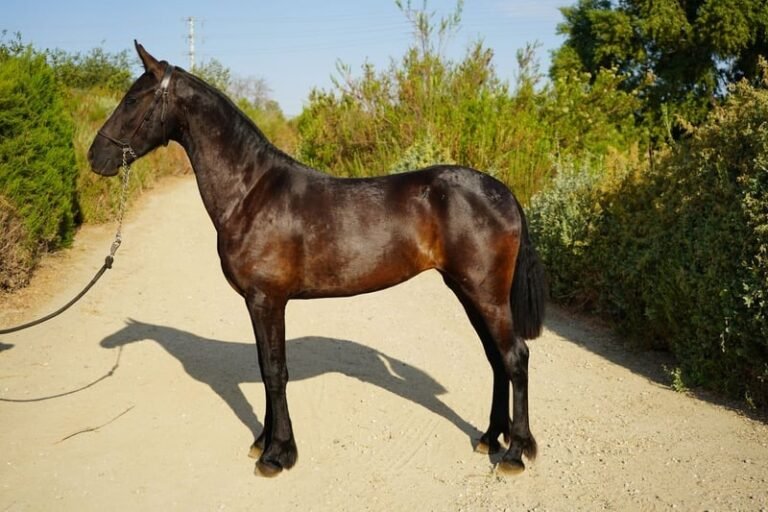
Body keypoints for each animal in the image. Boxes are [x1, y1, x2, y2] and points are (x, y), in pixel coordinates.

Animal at [88, 41, 545, 477]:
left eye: (133, 99)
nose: (96, 157)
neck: (250, 192)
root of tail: (501, 191)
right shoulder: (260, 303)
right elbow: (265, 367)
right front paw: (263, 441)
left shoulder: (266, 299)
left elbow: (275, 371)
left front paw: (277, 454)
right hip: (468, 291)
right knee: (496, 358)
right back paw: (490, 437)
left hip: (484, 294)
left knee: (515, 357)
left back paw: (516, 453)